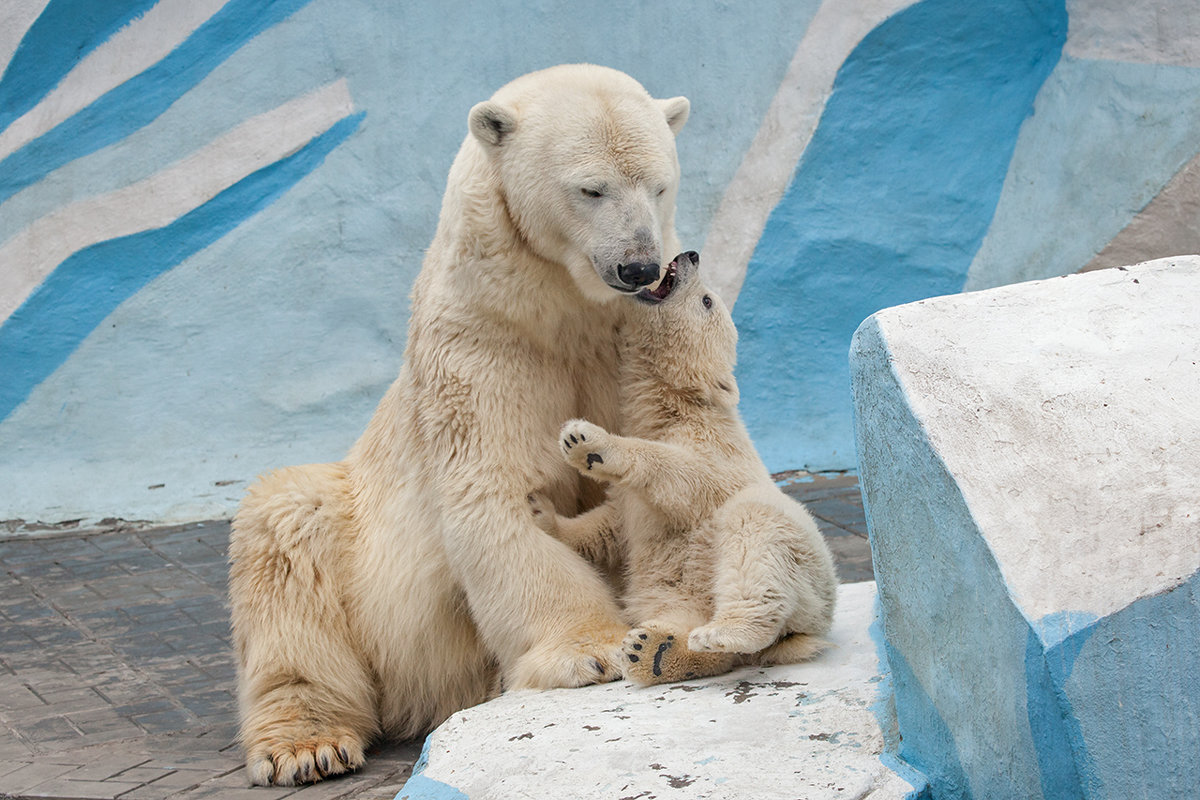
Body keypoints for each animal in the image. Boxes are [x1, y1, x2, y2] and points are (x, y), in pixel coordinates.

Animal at [228, 64, 691, 786]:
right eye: (591, 188)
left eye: (660, 184)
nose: (639, 266)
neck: (563, 307)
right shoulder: (483, 339)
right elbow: (494, 488)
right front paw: (589, 652)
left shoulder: (631, 335)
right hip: (353, 556)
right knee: (285, 536)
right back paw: (306, 744)